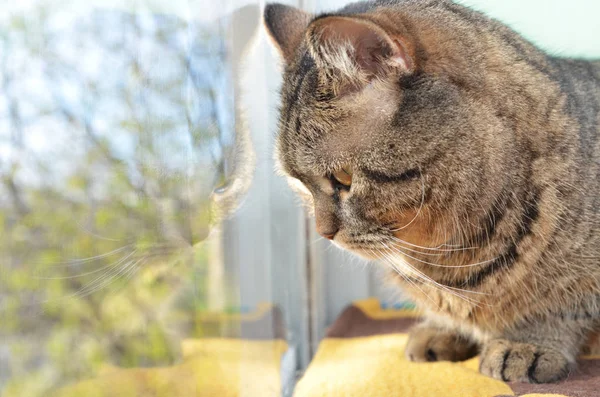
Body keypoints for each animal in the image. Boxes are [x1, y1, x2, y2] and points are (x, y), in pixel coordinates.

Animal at [264, 0, 600, 384]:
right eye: (299, 184)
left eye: (343, 178)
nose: (324, 233)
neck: (448, 254)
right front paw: (443, 329)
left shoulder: (578, 286)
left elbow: (559, 306)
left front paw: (528, 342)